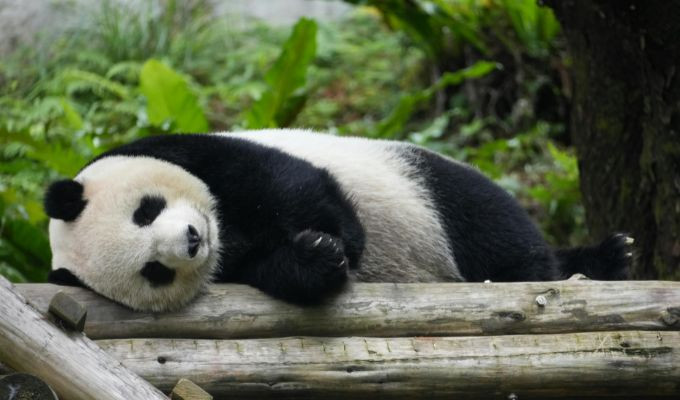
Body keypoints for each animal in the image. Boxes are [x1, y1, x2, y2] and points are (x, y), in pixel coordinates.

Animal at [44, 129, 632, 311]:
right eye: (154, 271)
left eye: (146, 210)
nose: (192, 240)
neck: (226, 232)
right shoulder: (232, 268)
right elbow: (275, 270)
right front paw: (318, 256)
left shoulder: (195, 152)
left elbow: (289, 184)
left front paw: (338, 238)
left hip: (419, 185)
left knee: (492, 229)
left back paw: (596, 260)